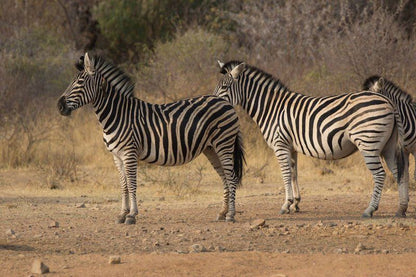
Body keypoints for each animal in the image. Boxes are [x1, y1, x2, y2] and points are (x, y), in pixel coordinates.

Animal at [59, 52, 247, 223]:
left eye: (80, 82)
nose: (59, 106)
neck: (118, 114)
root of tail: (225, 102)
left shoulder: (130, 153)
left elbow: (132, 183)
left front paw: (132, 215)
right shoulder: (117, 156)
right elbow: (123, 185)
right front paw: (122, 214)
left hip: (223, 143)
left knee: (231, 177)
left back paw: (231, 215)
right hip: (211, 148)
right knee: (224, 177)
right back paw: (222, 213)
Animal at [213, 61, 408, 218]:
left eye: (225, 87)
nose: (215, 102)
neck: (271, 107)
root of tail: (388, 101)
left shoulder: (280, 144)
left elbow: (285, 173)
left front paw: (285, 205)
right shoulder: (291, 146)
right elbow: (293, 173)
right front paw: (295, 203)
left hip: (369, 143)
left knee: (380, 174)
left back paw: (370, 210)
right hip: (388, 146)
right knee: (399, 172)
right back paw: (401, 209)